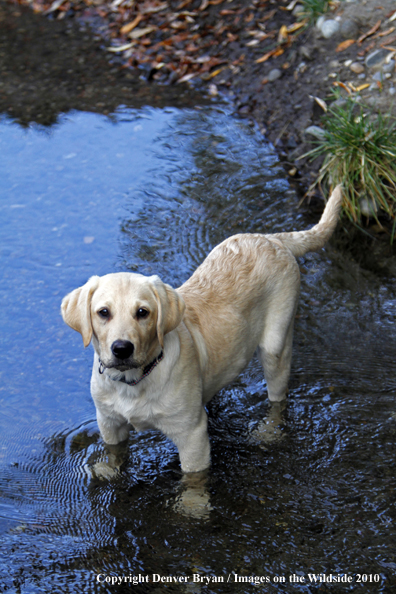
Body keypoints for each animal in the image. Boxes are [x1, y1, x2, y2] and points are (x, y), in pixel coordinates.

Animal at [62, 185, 344, 472]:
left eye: (143, 312)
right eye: (103, 312)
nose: (121, 349)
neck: (134, 382)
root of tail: (271, 239)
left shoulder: (191, 435)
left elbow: (193, 481)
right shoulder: (109, 423)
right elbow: (114, 454)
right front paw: (108, 471)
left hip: (276, 345)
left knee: (278, 398)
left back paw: (268, 432)